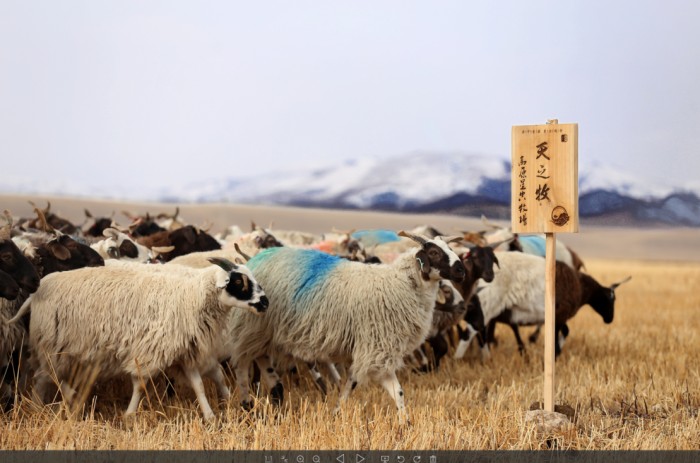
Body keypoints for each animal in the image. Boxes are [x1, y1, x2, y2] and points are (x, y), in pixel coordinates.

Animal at [6, 258, 268, 420]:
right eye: (238, 281)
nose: (265, 303)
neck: (190, 296)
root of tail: (35, 293)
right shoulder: (150, 349)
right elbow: (141, 384)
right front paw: (130, 414)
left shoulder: (183, 350)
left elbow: (200, 385)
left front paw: (211, 414)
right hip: (52, 346)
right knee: (51, 375)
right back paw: (70, 399)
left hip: (55, 348)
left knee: (44, 377)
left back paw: (39, 407)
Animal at [224, 230, 464, 422]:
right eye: (434, 253)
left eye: (450, 249)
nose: (461, 270)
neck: (399, 285)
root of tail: (256, 259)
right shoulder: (374, 346)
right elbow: (358, 382)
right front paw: (337, 411)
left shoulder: (378, 350)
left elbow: (397, 392)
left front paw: (405, 423)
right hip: (252, 326)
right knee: (242, 365)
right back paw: (246, 404)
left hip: (264, 334)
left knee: (263, 363)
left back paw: (275, 397)